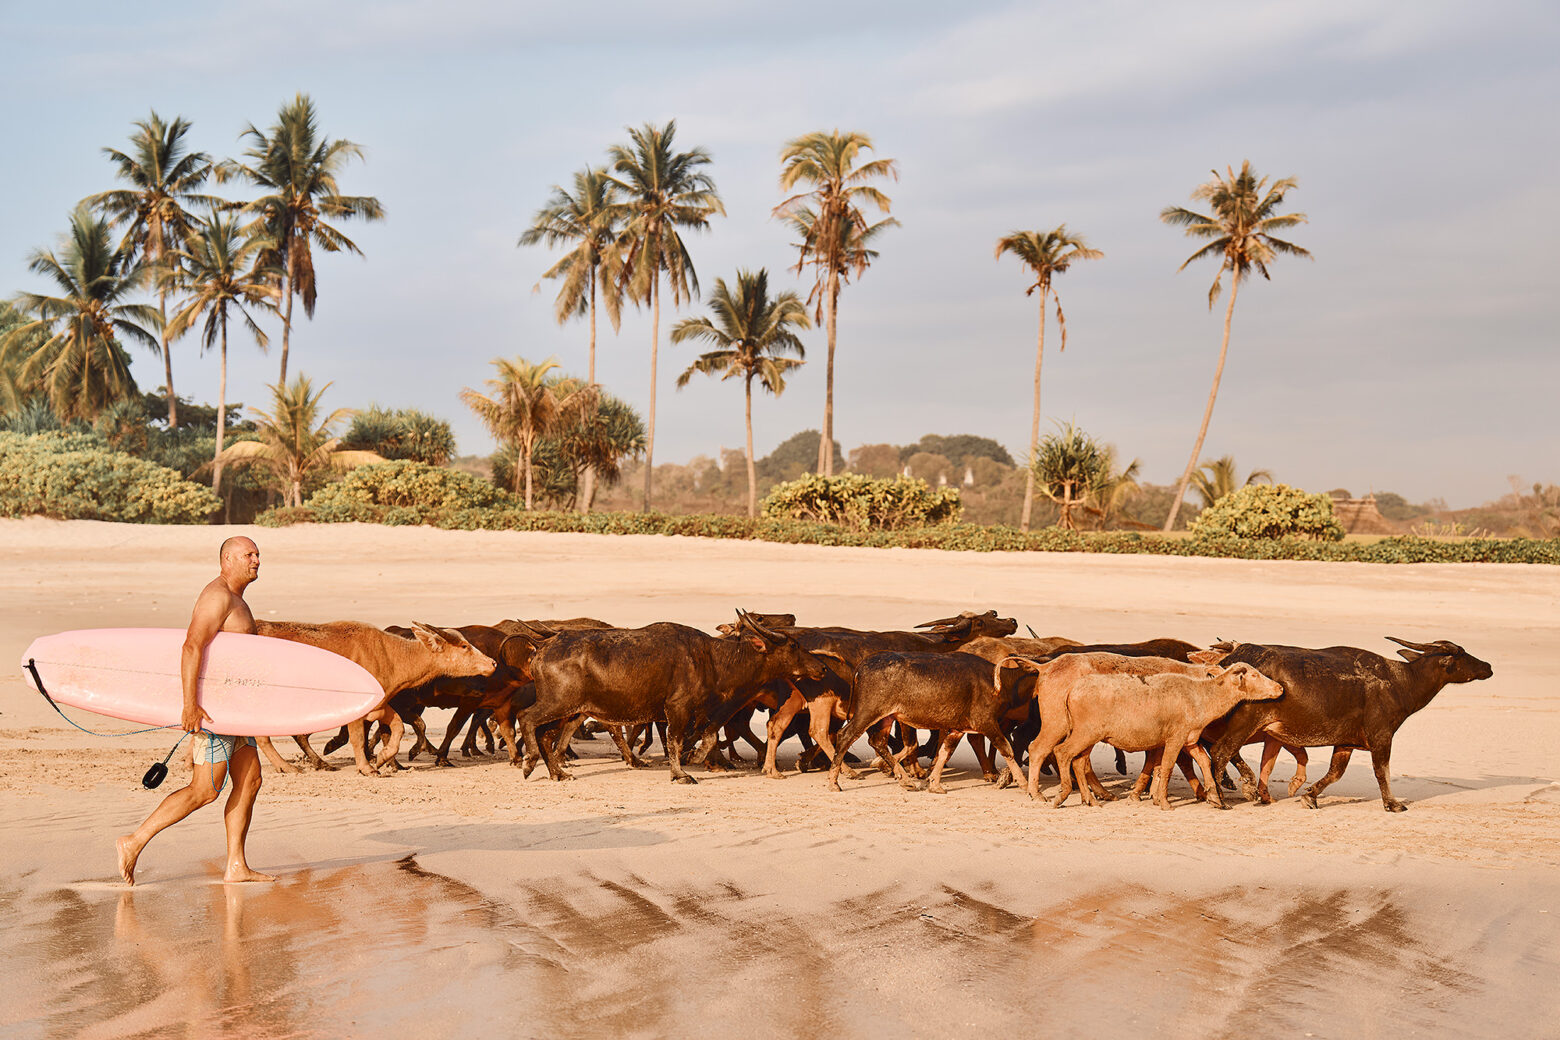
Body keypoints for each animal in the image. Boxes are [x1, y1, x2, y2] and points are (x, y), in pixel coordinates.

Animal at [521, 611, 829, 788]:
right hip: (558, 704)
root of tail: (542, 647)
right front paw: (681, 773)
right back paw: (528, 762)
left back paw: (558, 773)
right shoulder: (677, 709)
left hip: (570, 711)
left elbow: (708, 738)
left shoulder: (704, 713)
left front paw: (698, 757)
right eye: (794, 645)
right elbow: (676, 741)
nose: (822, 668)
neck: (714, 660)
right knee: (528, 719)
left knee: (546, 736)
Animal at [1198, 636, 1491, 810]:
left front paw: (1310, 796)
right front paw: (1393, 803)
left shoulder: (1345, 742)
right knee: (1221, 751)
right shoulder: (1382, 737)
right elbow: (1382, 771)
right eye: (1462, 653)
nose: (1488, 666)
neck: (1400, 682)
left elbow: (1335, 773)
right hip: (1243, 723)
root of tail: (1228, 664)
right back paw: (1219, 798)